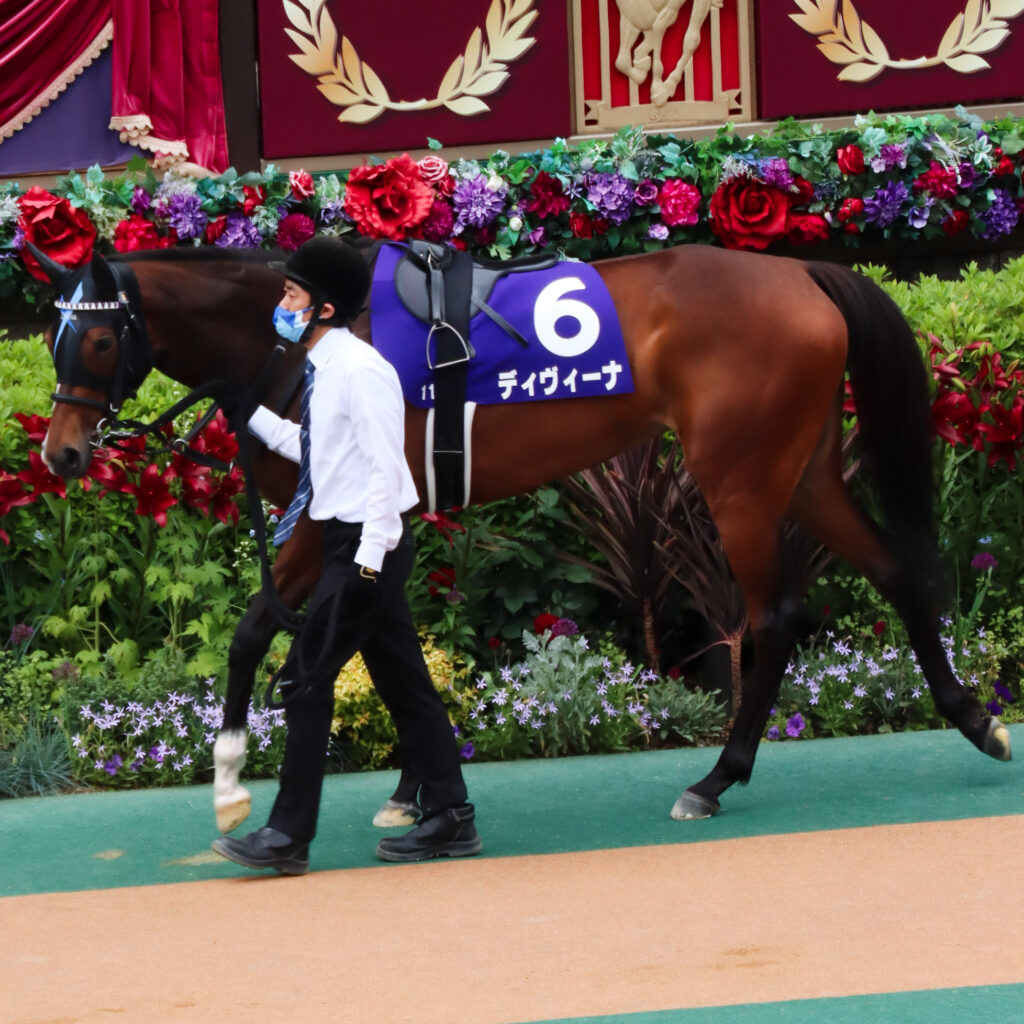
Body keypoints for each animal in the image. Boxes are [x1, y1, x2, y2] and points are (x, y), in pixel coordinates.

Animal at [32, 241, 1011, 830]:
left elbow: (252, 635)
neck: (302, 343)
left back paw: (714, 779)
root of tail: (803, 273)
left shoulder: (328, 515)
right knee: (896, 573)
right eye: (52, 338)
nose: (61, 452)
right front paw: (414, 790)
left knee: (771, 622)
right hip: (799, 469)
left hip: (738, 479)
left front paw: (235, 780)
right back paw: (975, 720)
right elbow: (387, 650)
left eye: (98, 343)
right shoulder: (380, 521)